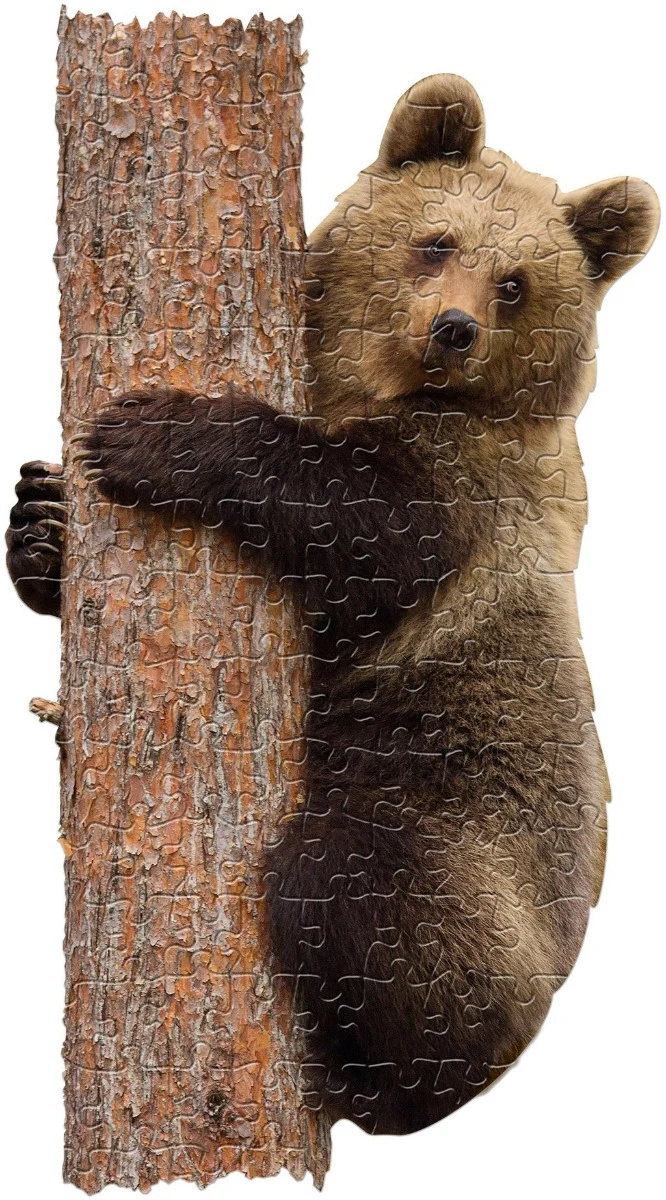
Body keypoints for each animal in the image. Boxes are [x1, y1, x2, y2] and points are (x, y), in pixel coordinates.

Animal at [7, 75, 659, 1137]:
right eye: (436, 241)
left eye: (516, 282)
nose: (453, 329)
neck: (375, 386)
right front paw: (42, 521)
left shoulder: (468, 495)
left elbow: (356, 527)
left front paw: (153, 434)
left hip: (459, 843)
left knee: (352, 889)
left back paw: (374, 1074)